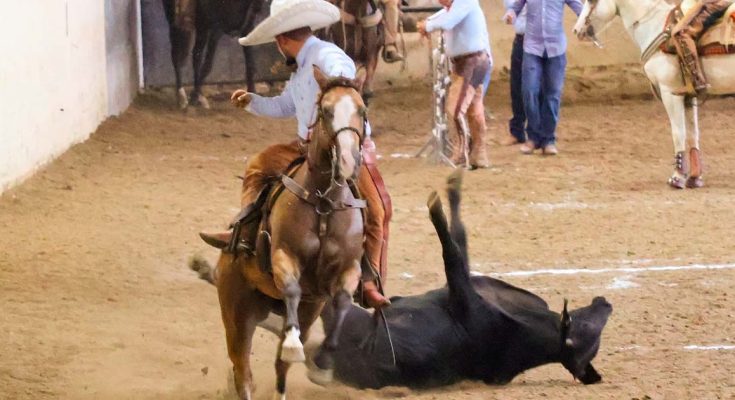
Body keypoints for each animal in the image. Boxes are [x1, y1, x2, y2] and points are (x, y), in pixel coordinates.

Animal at [198, 67, 368, 398]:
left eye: (362, 110)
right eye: (326, 111)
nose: (347, 161)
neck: (324, 205)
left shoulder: (347, 268)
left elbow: (342, 301)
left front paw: (324, 363)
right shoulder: (283, 255)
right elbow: (291, 288)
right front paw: (293, 345)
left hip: (305, 310)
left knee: (279, 368)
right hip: (237, 312)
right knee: (242, 370)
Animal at [576, 0, 735, 188]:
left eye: (591, 2)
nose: (577, 30)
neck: (653, 25)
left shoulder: (670, 93)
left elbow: (678, 133)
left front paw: (677, 177)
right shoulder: (690, 96)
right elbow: (692, 134)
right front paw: (695, 178)